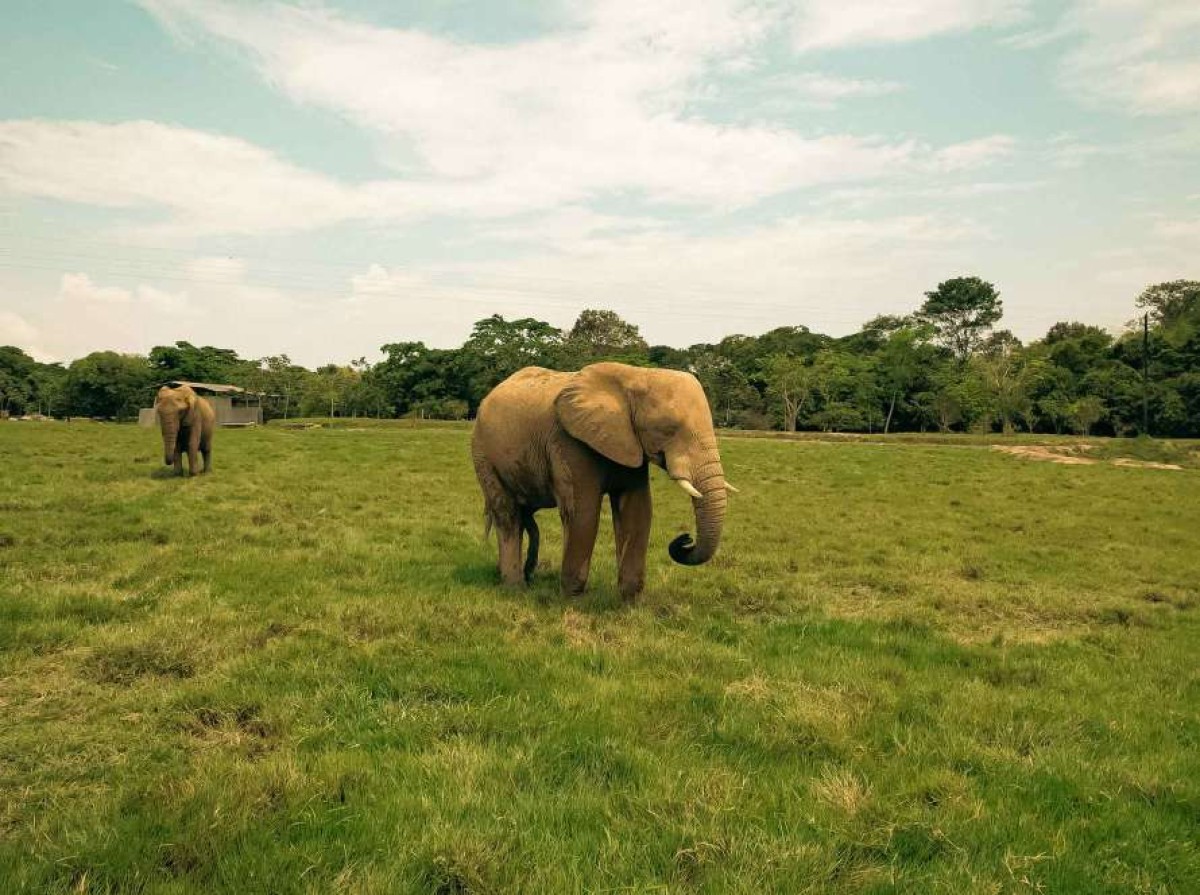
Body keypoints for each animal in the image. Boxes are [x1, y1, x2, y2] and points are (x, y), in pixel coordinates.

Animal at [471, 361, 735, 601]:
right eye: (669, 429)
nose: (685, 539)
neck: (637, 375)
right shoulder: (569, 441)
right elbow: (583, 511)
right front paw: (572, 599)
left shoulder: (630, 443)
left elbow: (637, 510)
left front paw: (629, 600)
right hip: (483, 452)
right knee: (507, 513)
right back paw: (515, 588)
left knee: (524, 514)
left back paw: (522, 576)